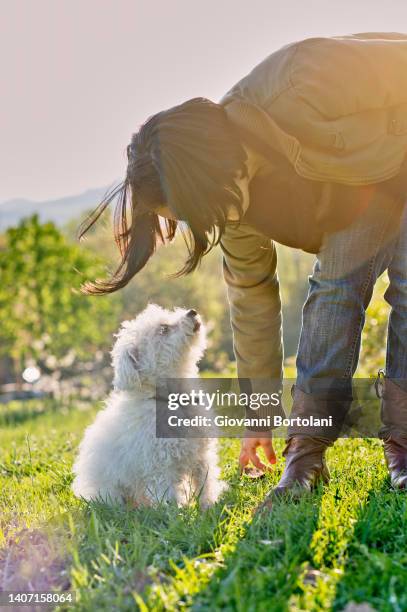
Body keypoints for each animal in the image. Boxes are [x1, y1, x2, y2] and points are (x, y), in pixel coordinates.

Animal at [73, 306, 226, 506]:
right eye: (163, 329)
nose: (192, 311)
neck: (171, 399)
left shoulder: (201, 455)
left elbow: (205, 482)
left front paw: (209, 505)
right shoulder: (159, 466)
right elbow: (169, 497)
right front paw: (177, 513)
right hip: (110, 492)